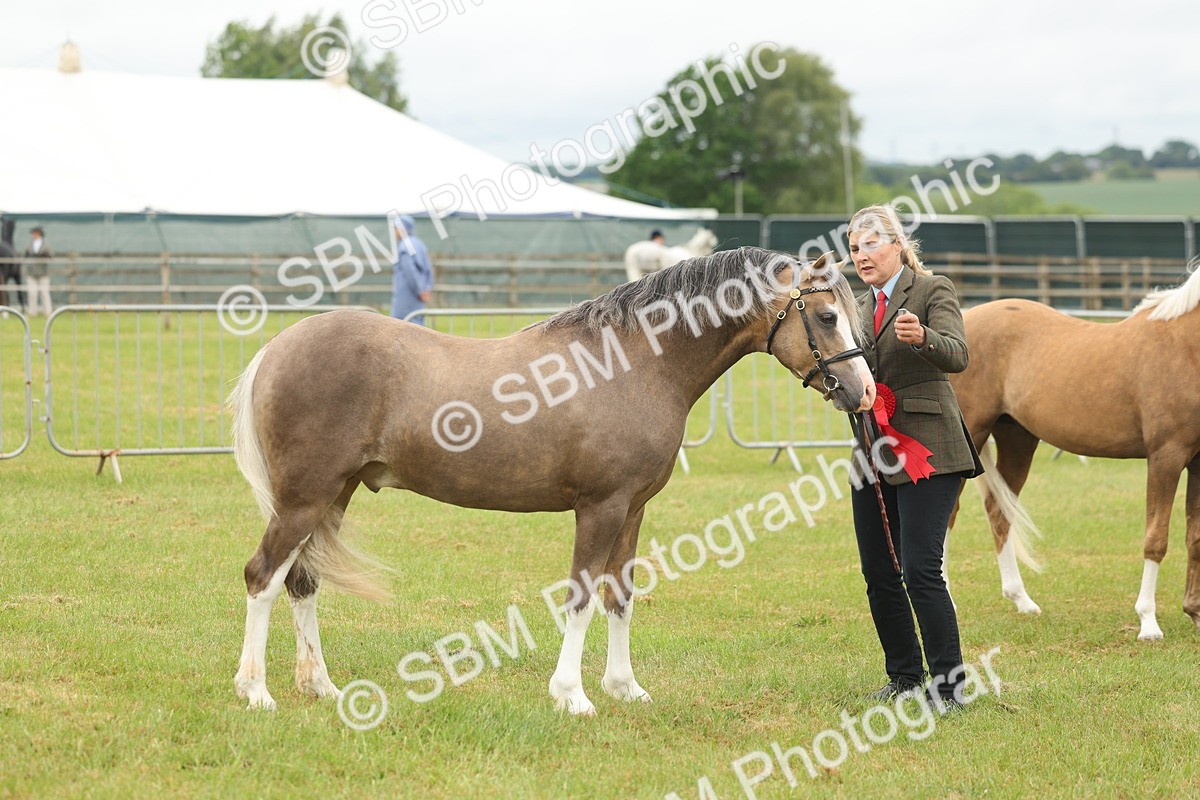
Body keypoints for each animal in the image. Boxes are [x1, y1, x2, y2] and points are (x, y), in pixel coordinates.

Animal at [229, 248, 876, 714]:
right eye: (825, 317)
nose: (864, 392)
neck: (633, 362)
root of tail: (277, 347)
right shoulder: (600, 507)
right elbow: (582, 597)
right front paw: (572, 696)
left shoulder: (633, 509)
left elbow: (620, 596)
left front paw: (625, 689)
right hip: (303, 500)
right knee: (263, 577)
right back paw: (256, 692)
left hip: (330, 499)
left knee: (302, 582)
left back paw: (321, 688)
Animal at [948, 264, 1200, 640]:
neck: (1185, 345)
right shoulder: (1165, 457)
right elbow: (1156, 540)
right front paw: (1148, 623)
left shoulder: (1198, 463)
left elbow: (1194, 537)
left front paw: (1195, 612)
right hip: (971, 437)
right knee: (948, 515)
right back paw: (948, 599)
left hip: (1017, 439)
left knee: (999, 511)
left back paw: (1022, 600)